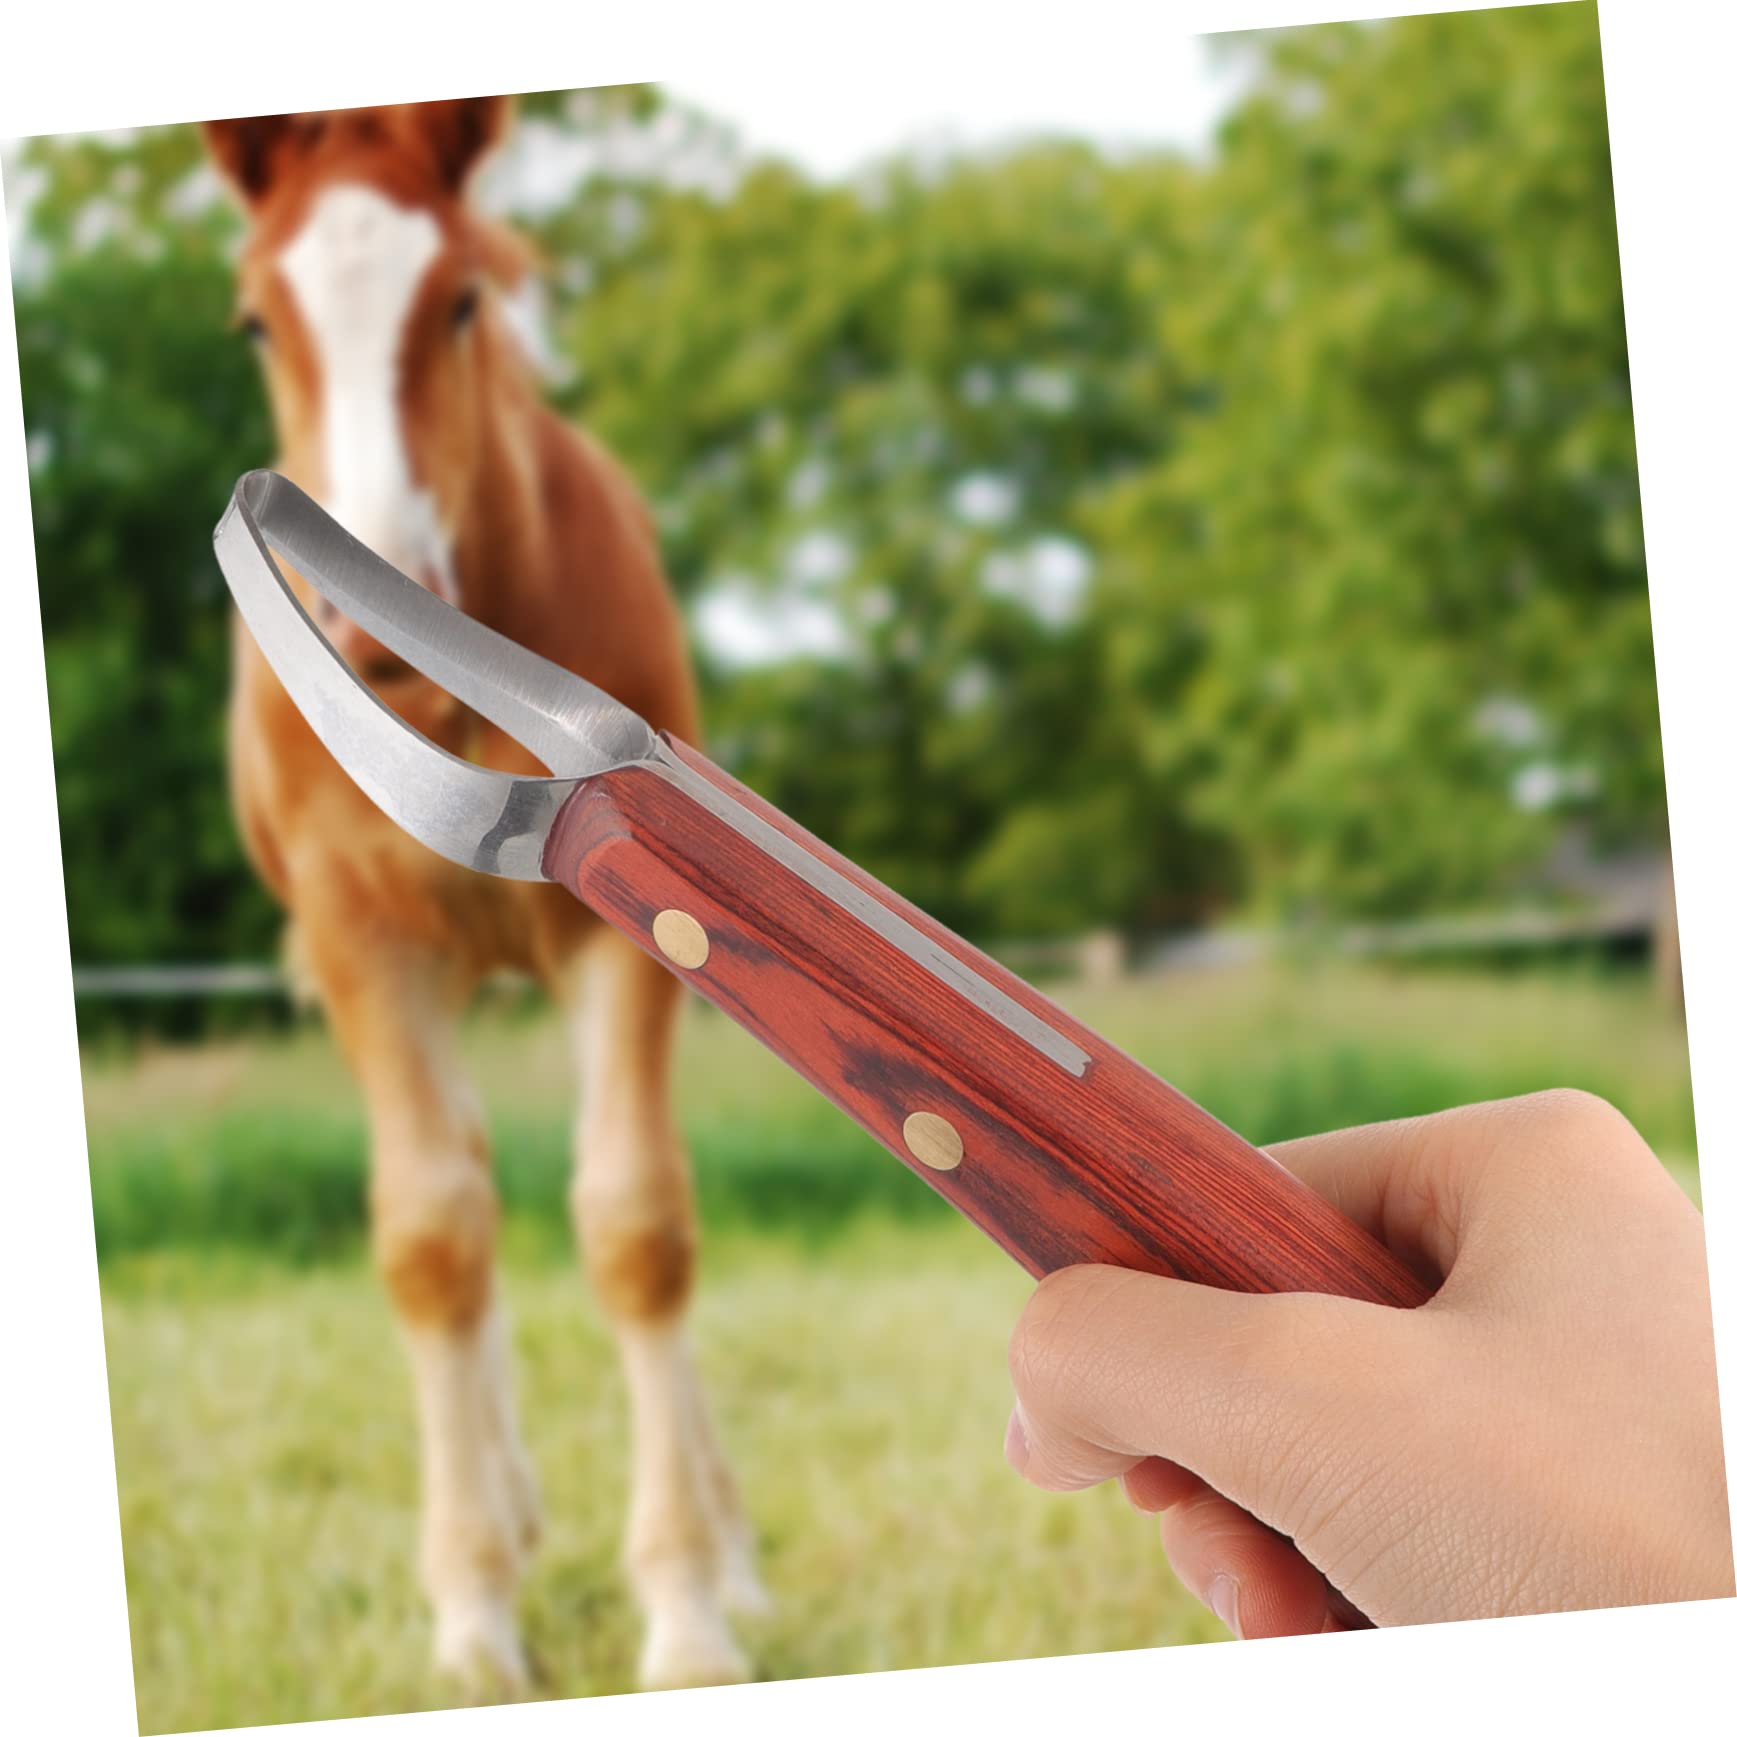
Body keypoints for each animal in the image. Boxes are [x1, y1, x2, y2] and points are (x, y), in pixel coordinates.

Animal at [202, 95, 763, 1695]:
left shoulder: (613, 933)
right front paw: (469, 1614)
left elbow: (637, 1223)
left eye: (459, 300)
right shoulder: (360, 940)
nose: (357, 624)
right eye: (255, 320)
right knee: (457, 1189)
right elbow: (433, 1236)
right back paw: (504, 1519)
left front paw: (688, 1609)